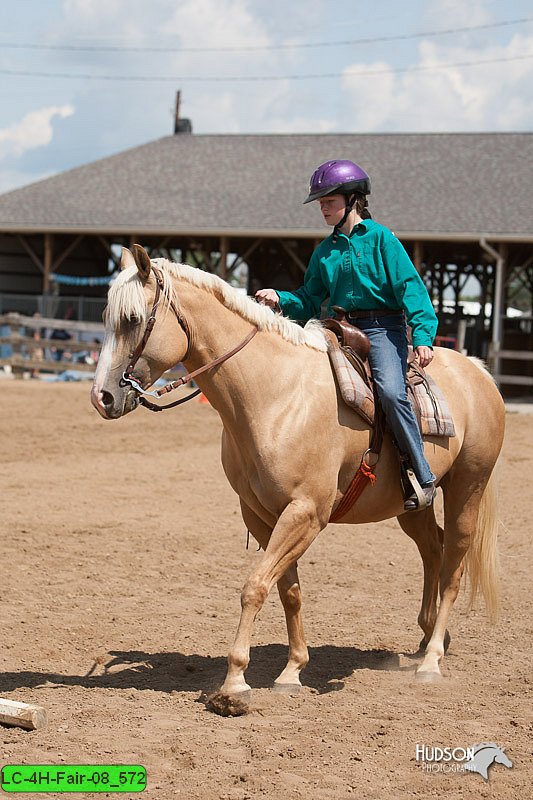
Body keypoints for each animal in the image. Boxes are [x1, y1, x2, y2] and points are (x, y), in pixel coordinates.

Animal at [90, 245, 502, 712]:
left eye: (133, 319)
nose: (101, 397)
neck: (275, 394)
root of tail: (479, 371)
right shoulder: (261, 516)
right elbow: (288, 590)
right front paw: (292, 671)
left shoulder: (306, 513)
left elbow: (255, 586)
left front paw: (233, 684)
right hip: (409, 506)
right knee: (433, 550)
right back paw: (429, 637)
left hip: (469, 487)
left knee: (453, 565)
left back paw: (431, 660)